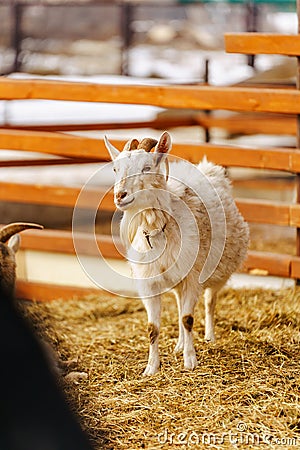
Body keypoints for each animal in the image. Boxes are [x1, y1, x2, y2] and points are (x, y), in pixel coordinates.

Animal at [104, 134, 250, 376]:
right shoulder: (149, 283)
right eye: (115, 168)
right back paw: (180, 344)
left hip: (218, 272)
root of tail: (209, 169)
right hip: (177, 280)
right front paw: (151, 367)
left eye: (146, 167)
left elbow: (188, 318)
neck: (160, 227)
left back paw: (209, 337)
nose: (120, 195)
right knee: (182, 305)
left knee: (209, 302)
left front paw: (190, 361)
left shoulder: (192, 277)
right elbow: (153, 327)